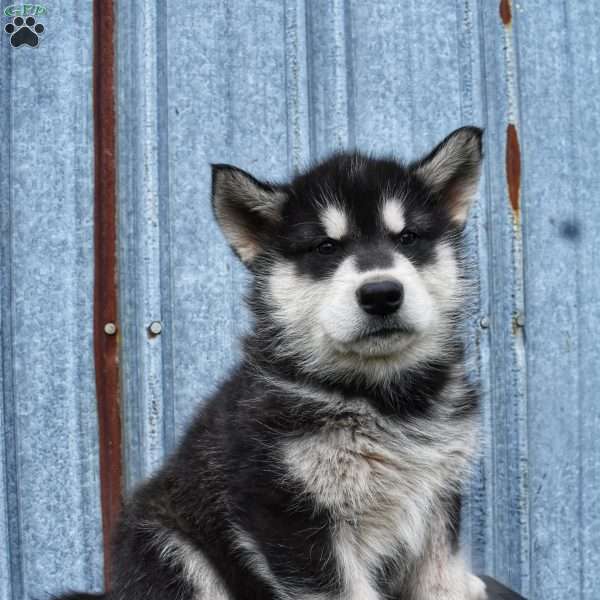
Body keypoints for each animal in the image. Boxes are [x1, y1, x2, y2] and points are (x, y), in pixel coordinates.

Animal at [56, 127, 488, 600]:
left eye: (407, 238)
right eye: (325, 247)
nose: (381, 293)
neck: (382, 399)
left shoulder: (437, 498)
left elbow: (442, 580)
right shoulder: (288, 513)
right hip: (167, 544)